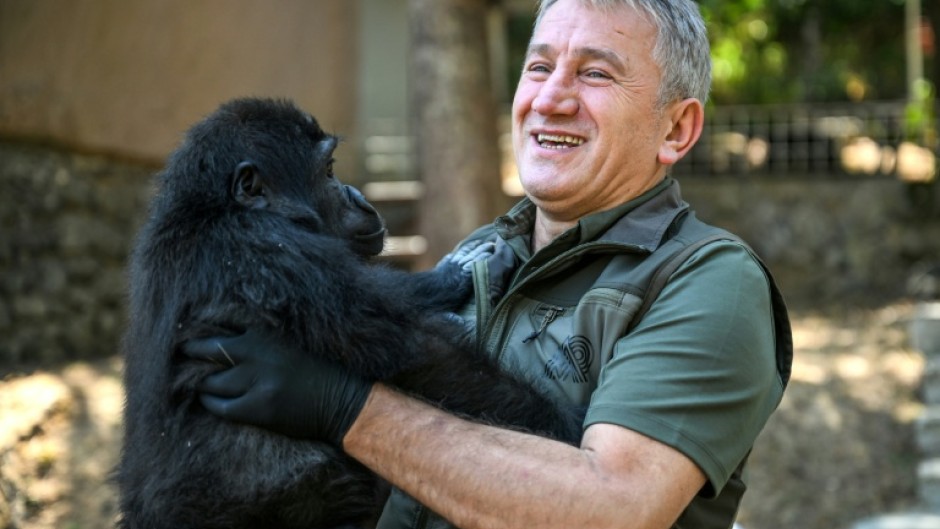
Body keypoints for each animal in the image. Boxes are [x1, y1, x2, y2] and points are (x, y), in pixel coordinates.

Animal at [116, 97, 584, 529]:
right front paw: (557, 423)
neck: (215, 207)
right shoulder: (274, 253)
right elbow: (421, 354)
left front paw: (456, 270)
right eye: (327, 172)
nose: (357, 197)